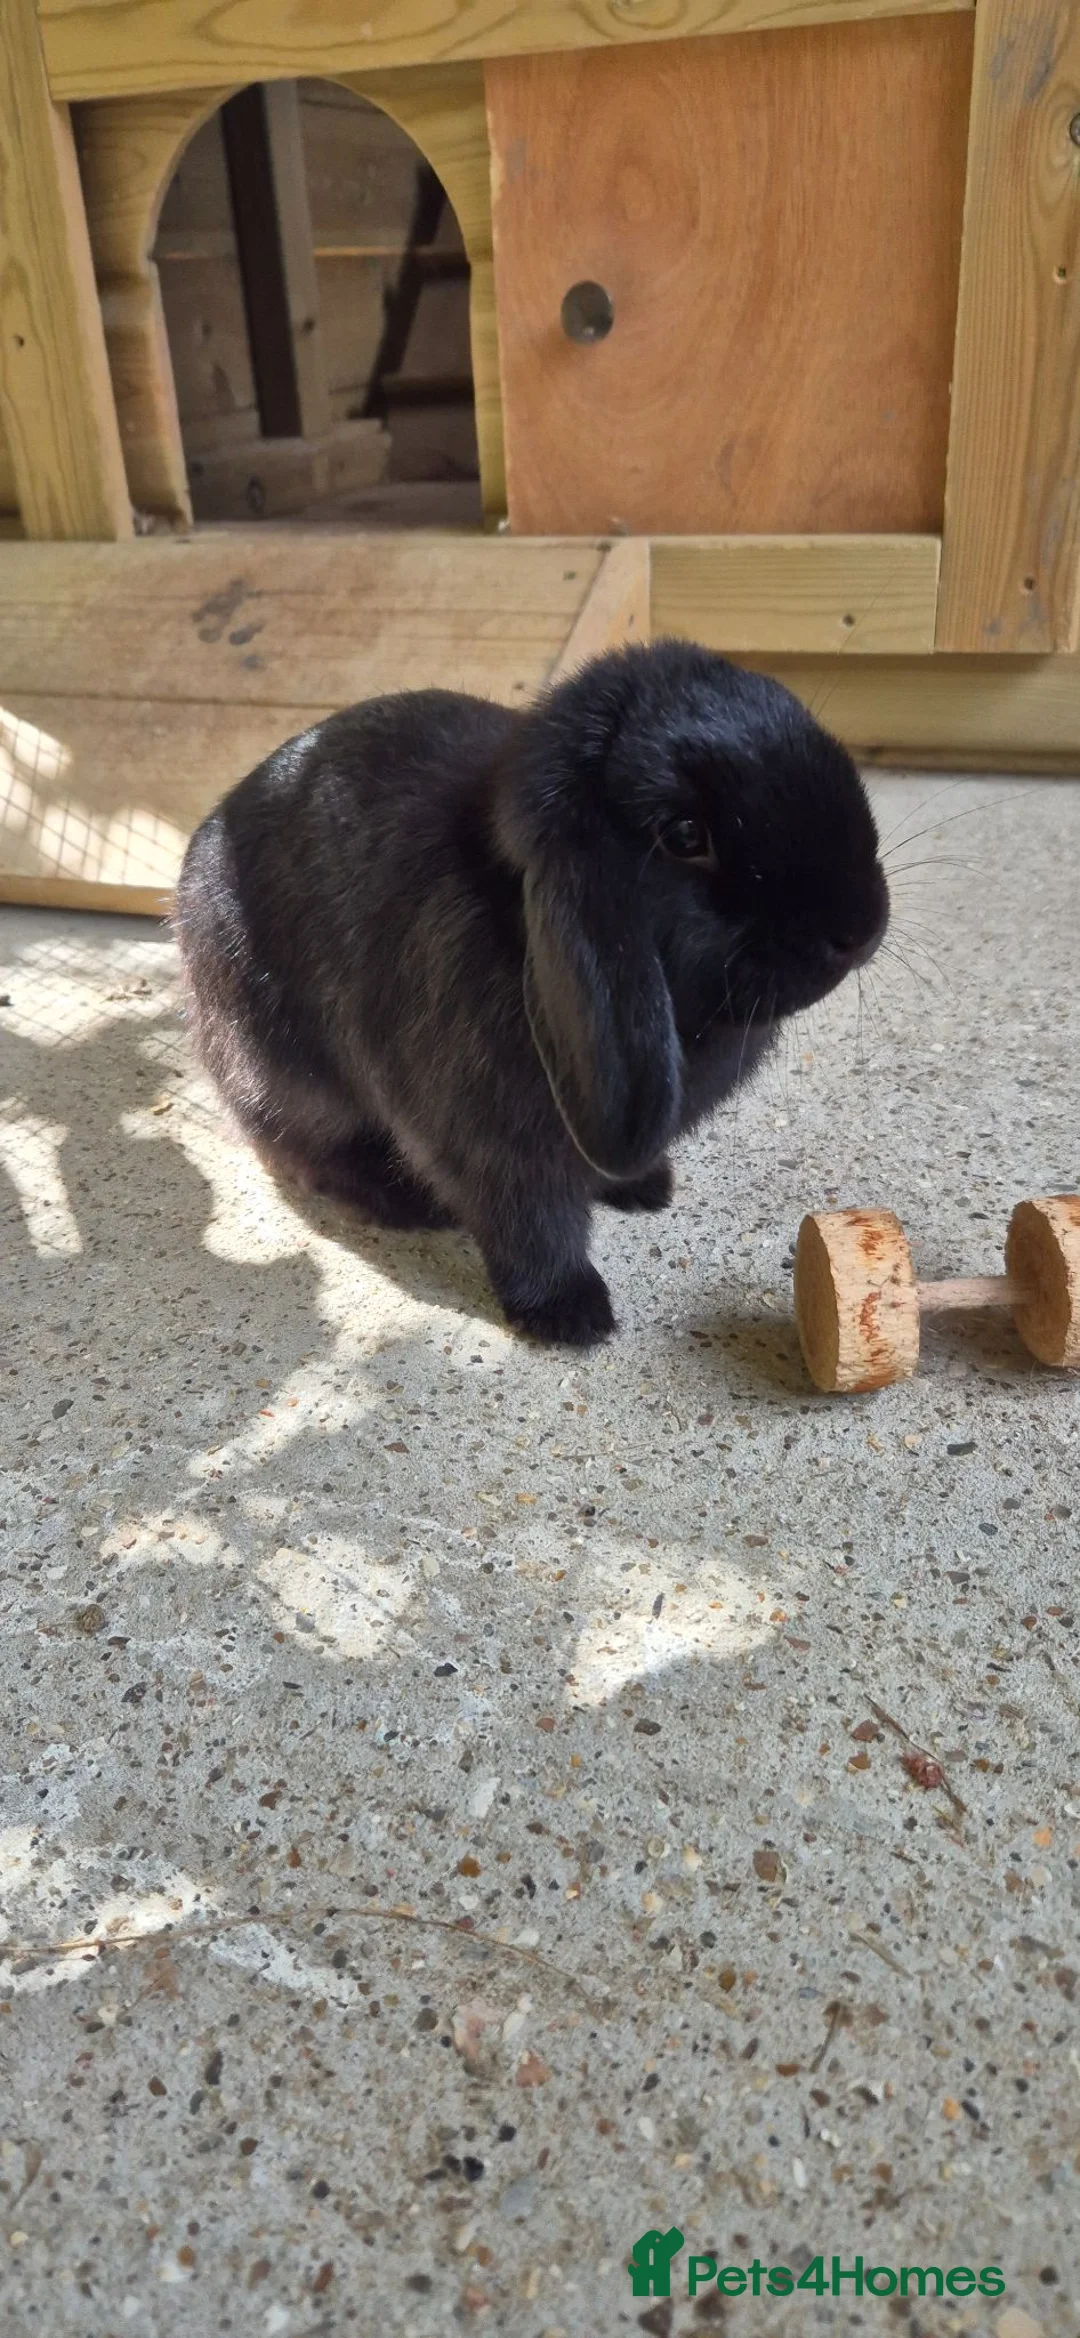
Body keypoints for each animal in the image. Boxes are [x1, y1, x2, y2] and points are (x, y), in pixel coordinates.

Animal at [174, 639, 888, 1345]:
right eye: (686, 836)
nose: (859, 928)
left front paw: (644, 1188)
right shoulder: (495, 1148)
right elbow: (532, 1225)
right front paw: (571, 1315)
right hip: (283, 1076)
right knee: (301, 1149)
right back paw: (406, 1202)